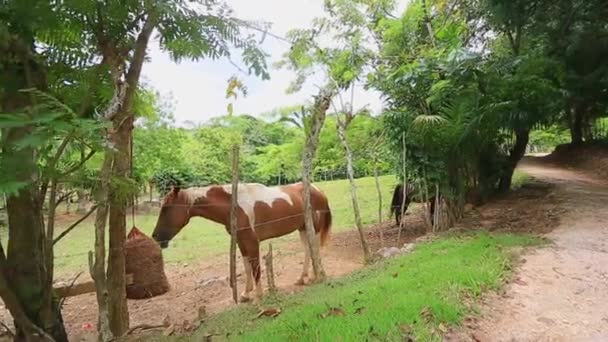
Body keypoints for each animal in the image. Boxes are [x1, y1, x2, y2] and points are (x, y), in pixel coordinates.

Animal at [151, 183, 332, 304]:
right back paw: (302, 278)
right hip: (303, 228)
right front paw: (246, 294)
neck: (233, 207)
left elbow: (255, 266)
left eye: (166, 208)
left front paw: (259, 296)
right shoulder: (240, 241)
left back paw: (316, 276)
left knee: (314, 249)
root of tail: (319, 191)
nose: (156, 237)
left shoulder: (252, 241)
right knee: (308, 250)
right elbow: (246, 266)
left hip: (314, 229)